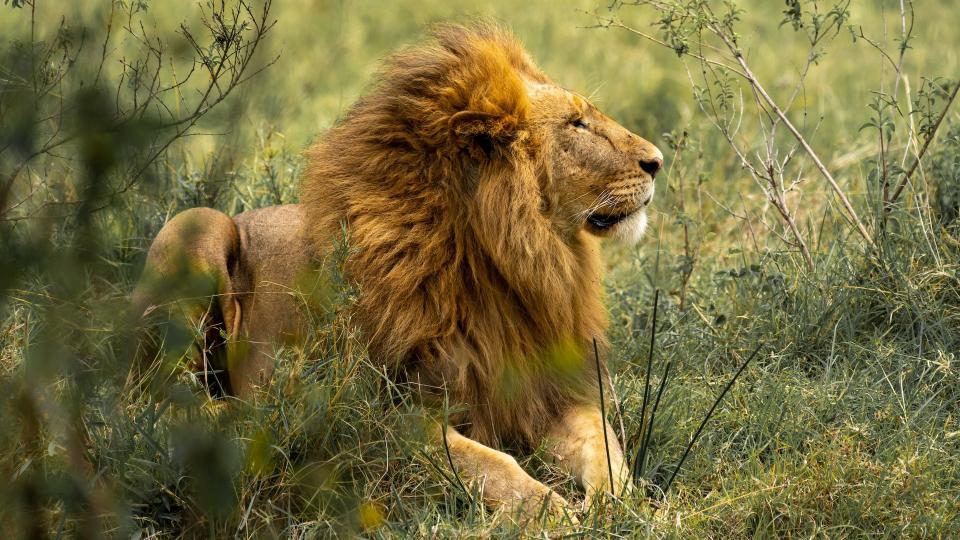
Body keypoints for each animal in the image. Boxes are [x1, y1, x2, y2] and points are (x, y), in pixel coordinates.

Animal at [133, 26, 660, 524]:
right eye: (577, 124)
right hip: (197, 225)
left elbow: (604, 445)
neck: (508, 264)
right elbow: (489, 463)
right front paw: (551, 510)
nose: (657, 161)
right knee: (153, 400)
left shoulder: (549, 391)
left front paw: (621, 504)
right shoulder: (381, 414)